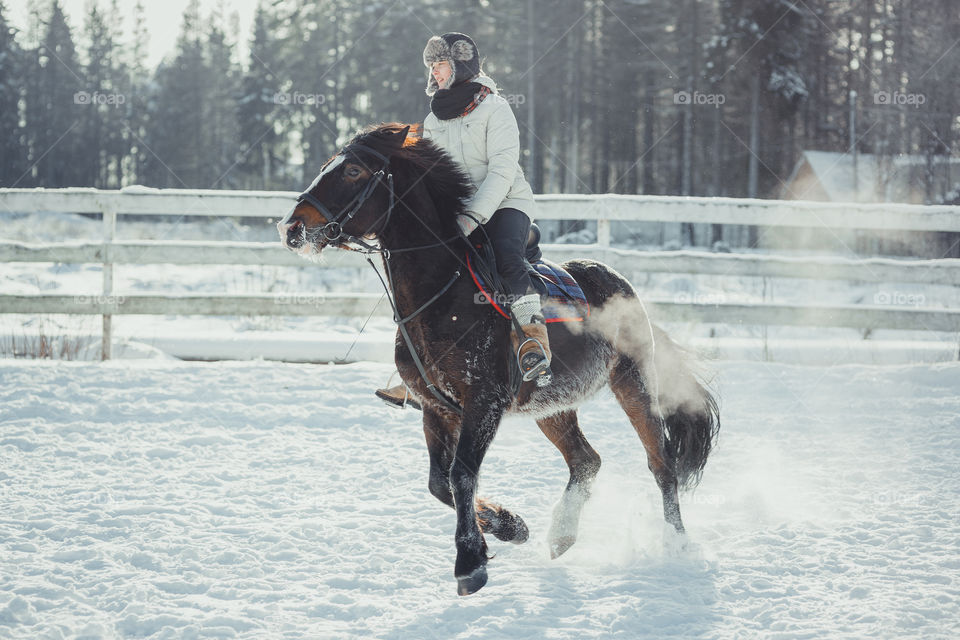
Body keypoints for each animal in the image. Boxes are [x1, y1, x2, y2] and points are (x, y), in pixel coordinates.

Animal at [274, 121, 716, 596]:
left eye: (353, 170)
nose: (292, 227)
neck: (441, 293)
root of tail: (621, 283)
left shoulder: (483, 403)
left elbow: (461, 475)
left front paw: (470, 562)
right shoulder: (436, 408)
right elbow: (440, 483)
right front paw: (510, 526)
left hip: (633, 383)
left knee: (661, 463)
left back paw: (676, 543)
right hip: (552, 406)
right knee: (586, 460)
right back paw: (560, 534)